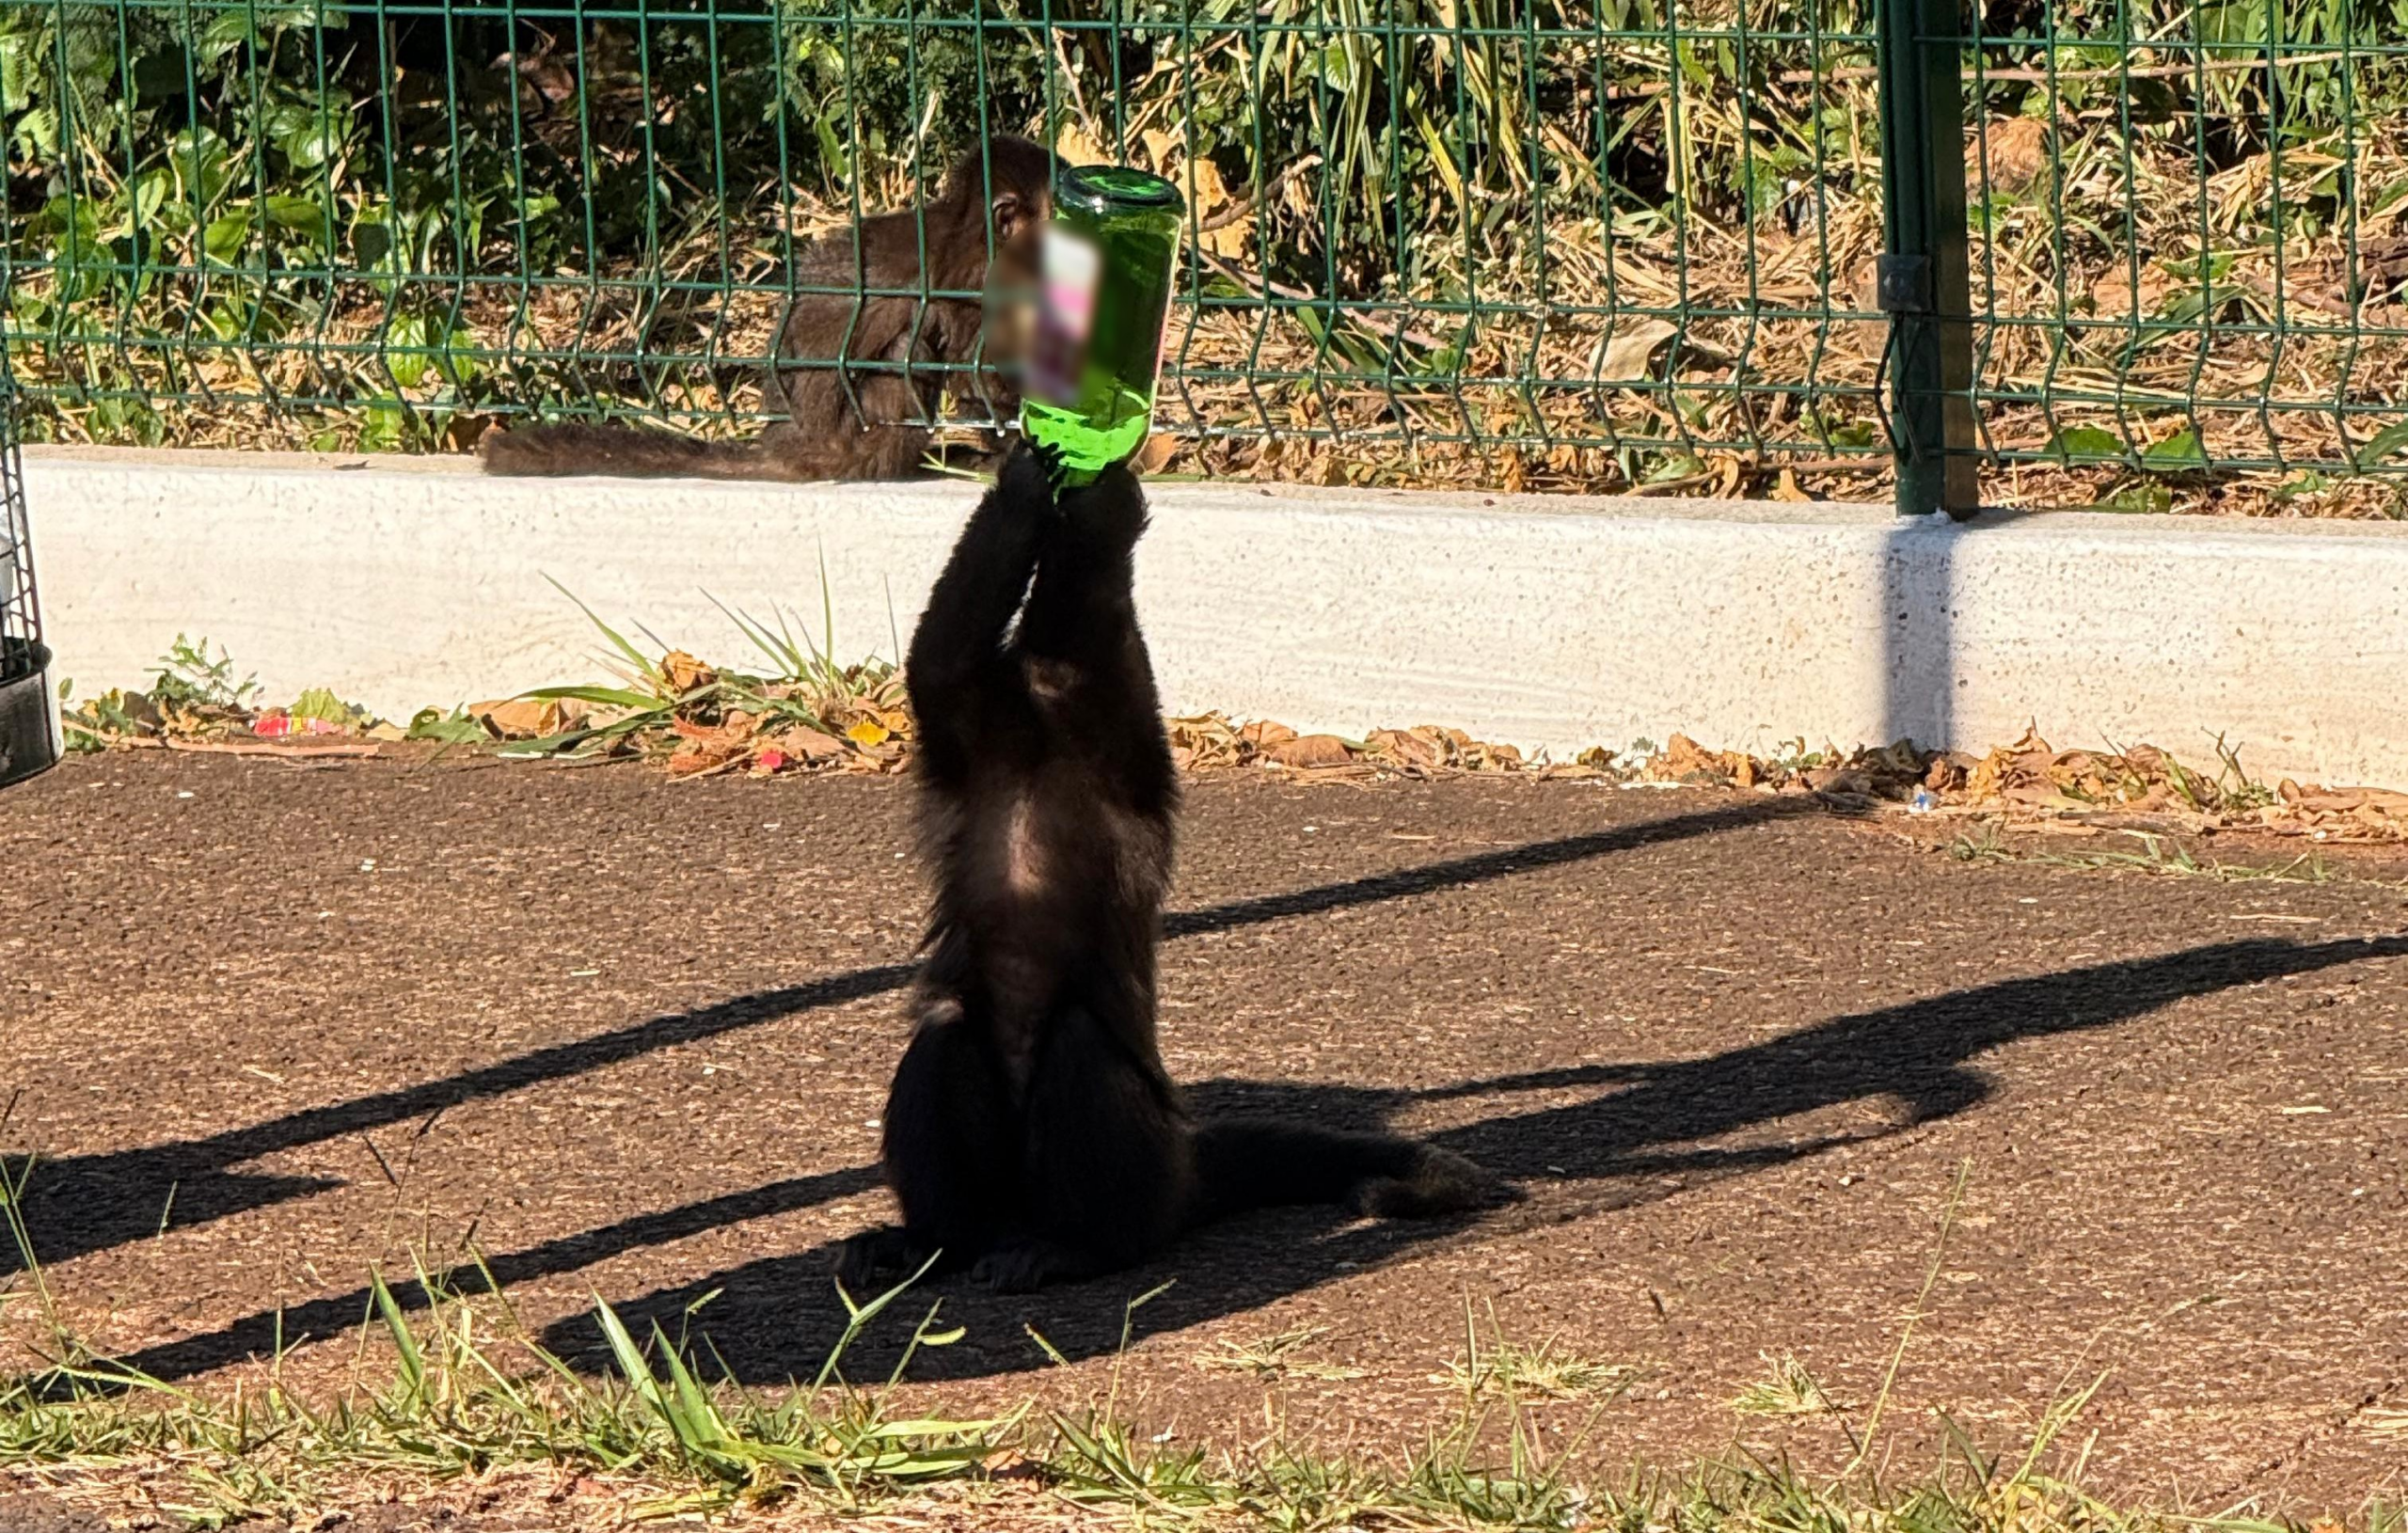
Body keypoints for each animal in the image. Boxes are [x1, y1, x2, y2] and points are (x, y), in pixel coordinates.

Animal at [834, 440, 1515, 1295]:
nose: (1034, 677)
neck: (1039, 754)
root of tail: (1184, 1166)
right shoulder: (972, 729)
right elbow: (944, 656)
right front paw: (1032, 492)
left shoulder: (1114, 741)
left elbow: (1057, 647)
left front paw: (1091, 504)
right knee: (949, 1034)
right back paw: (935, 1244)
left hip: (1146, 1168)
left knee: (1078, 1049)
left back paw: (1075, 1249)